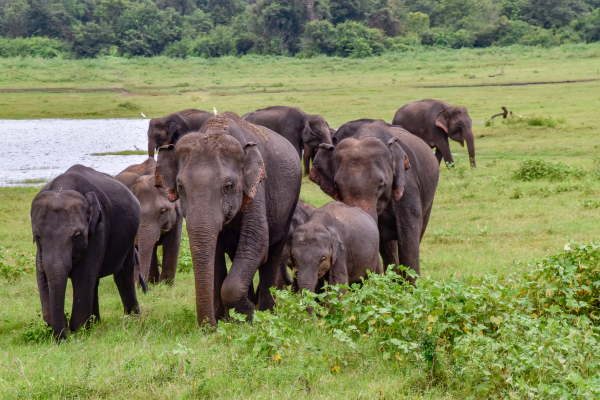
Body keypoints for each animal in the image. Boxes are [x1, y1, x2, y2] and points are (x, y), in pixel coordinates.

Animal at [31, 164, 142, 340]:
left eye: (77, 235)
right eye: (37, 236)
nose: (62, 340)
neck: (61, 189)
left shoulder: (98, 229)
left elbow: (82, 275)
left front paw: (77, 330)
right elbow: (42, 274)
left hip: (130, 239)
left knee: (123, 276)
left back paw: (132, 318)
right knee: (95, 280)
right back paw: (95, 323)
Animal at [155, 111, 302, 326]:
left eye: (228, 186)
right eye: (180, 187)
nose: (210, 329)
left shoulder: (256, 189)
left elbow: (257, 242)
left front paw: (248, 315)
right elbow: (216, 253)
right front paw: (226, 319)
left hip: (287, 208)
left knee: (272, 252)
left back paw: (266, 311)